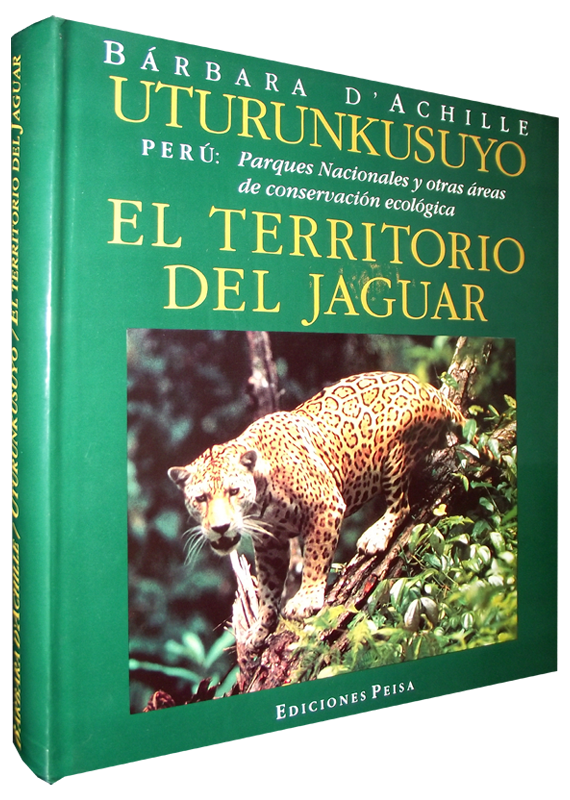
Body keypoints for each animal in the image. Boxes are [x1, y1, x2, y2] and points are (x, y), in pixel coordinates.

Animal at [168, 371, 467, 648]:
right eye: (201, 498)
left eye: (234, 491)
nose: (220, 527)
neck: (262, 495)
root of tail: (432, 392)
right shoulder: (269, 543)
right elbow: (267, 586)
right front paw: (262, 627)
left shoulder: (326, 506)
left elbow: (315, 556)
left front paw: (306, 599)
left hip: (395, 456)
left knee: (401, 505)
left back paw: (375, 536)